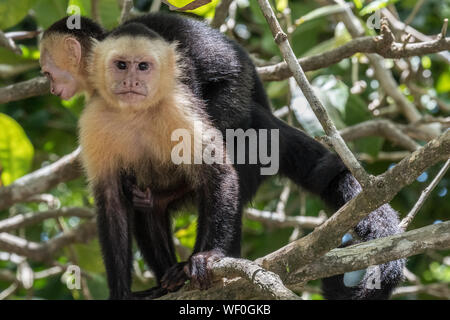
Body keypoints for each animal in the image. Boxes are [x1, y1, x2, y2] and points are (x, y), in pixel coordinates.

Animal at [38, 13, 404, 300]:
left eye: (48, 72)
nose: (52, 86)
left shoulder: (176, 91)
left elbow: (213, 164)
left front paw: (208, 253)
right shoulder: (93, 121)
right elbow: (112, 200)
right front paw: (122, 292)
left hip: (241, 111)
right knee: (143, 203)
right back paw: (167, 267)